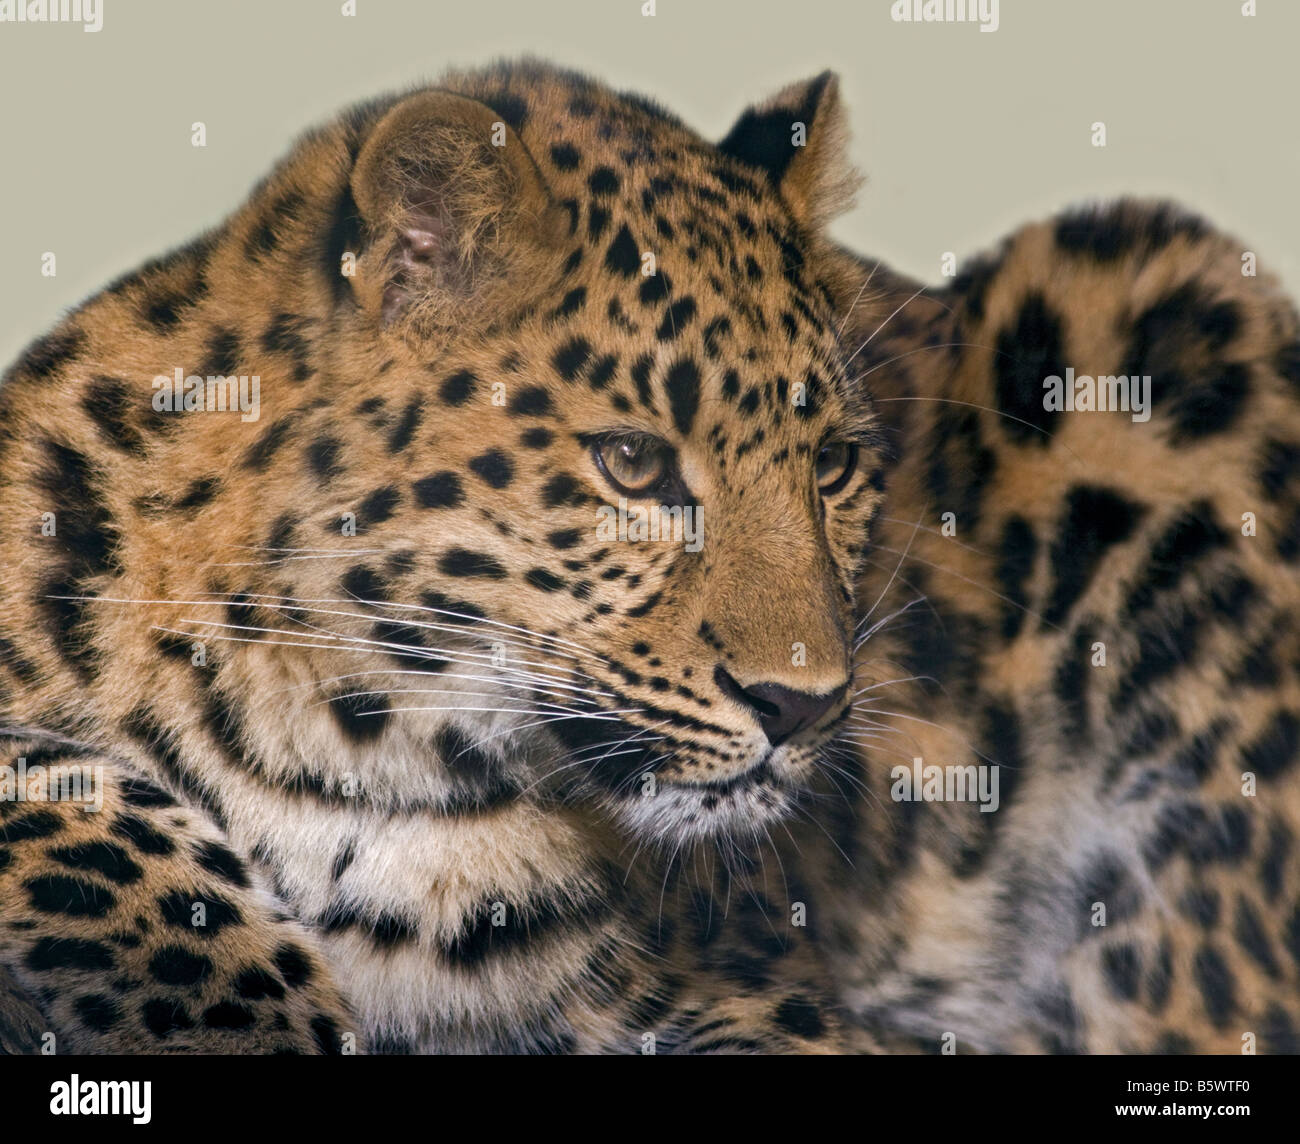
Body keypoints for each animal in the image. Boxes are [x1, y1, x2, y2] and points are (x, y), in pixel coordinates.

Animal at [0, 55, 1294, 1055]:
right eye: (631, 463)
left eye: (832, 464)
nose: (804, 705)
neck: (347, 736)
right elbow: (75, 799)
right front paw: (241, 1007)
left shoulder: (747, 987)